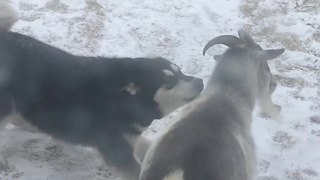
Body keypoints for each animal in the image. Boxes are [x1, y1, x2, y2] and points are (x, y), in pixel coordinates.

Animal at [0, 1, 204, 179]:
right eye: (168, 80)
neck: (123, 101)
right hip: (6, 106)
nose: (201, 82)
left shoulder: (130, 138)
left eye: (180, 71)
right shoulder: (119, 152)